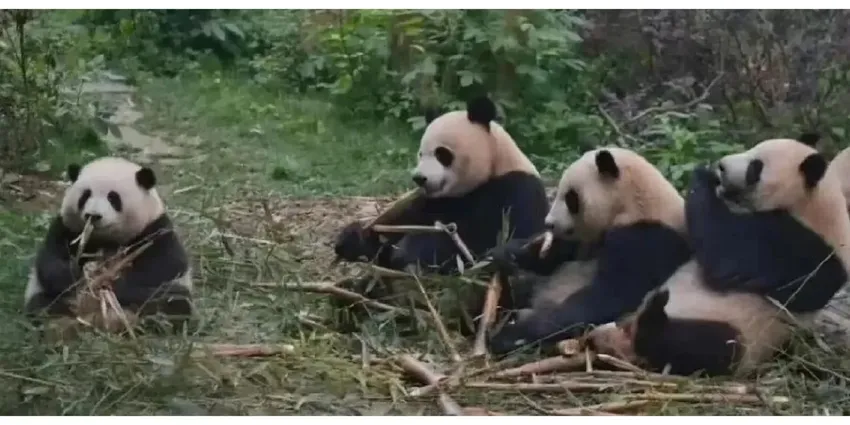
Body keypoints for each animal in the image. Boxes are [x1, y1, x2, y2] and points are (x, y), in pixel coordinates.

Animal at [23, 156, 197, 332]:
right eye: (85, 195)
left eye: (113, 198)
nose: (93, 215)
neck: (106, 238)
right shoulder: (66, 228)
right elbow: (50, 262)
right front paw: (80, 278)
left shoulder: (156, 227)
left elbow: (166, 265)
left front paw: (109, 281)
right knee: (41, 304)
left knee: (174, 302)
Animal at [332, 95, 548, 332]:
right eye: (420, 153)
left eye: (441, 153)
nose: (419, 178)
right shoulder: (433, 202)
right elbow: (388, 238)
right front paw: (352, 238)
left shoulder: (516, 192)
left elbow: (481, 243)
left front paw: (412, 251)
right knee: (366, 287)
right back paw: (350, 304)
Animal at [486, 147, 692, 352]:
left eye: (570, 197)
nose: (549, 223)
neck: (631, 201)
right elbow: (554, 257)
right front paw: (507, 252)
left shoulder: (648, 237)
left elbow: (612, 293)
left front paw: (511, 336)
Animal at [624, 137, 848, 376]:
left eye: (755, 166)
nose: (721, 166)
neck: (815, 206)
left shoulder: (804, 250)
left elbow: (728, 259)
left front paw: (704, 175)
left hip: (741, 335)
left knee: (705, 344)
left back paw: (653, 320)